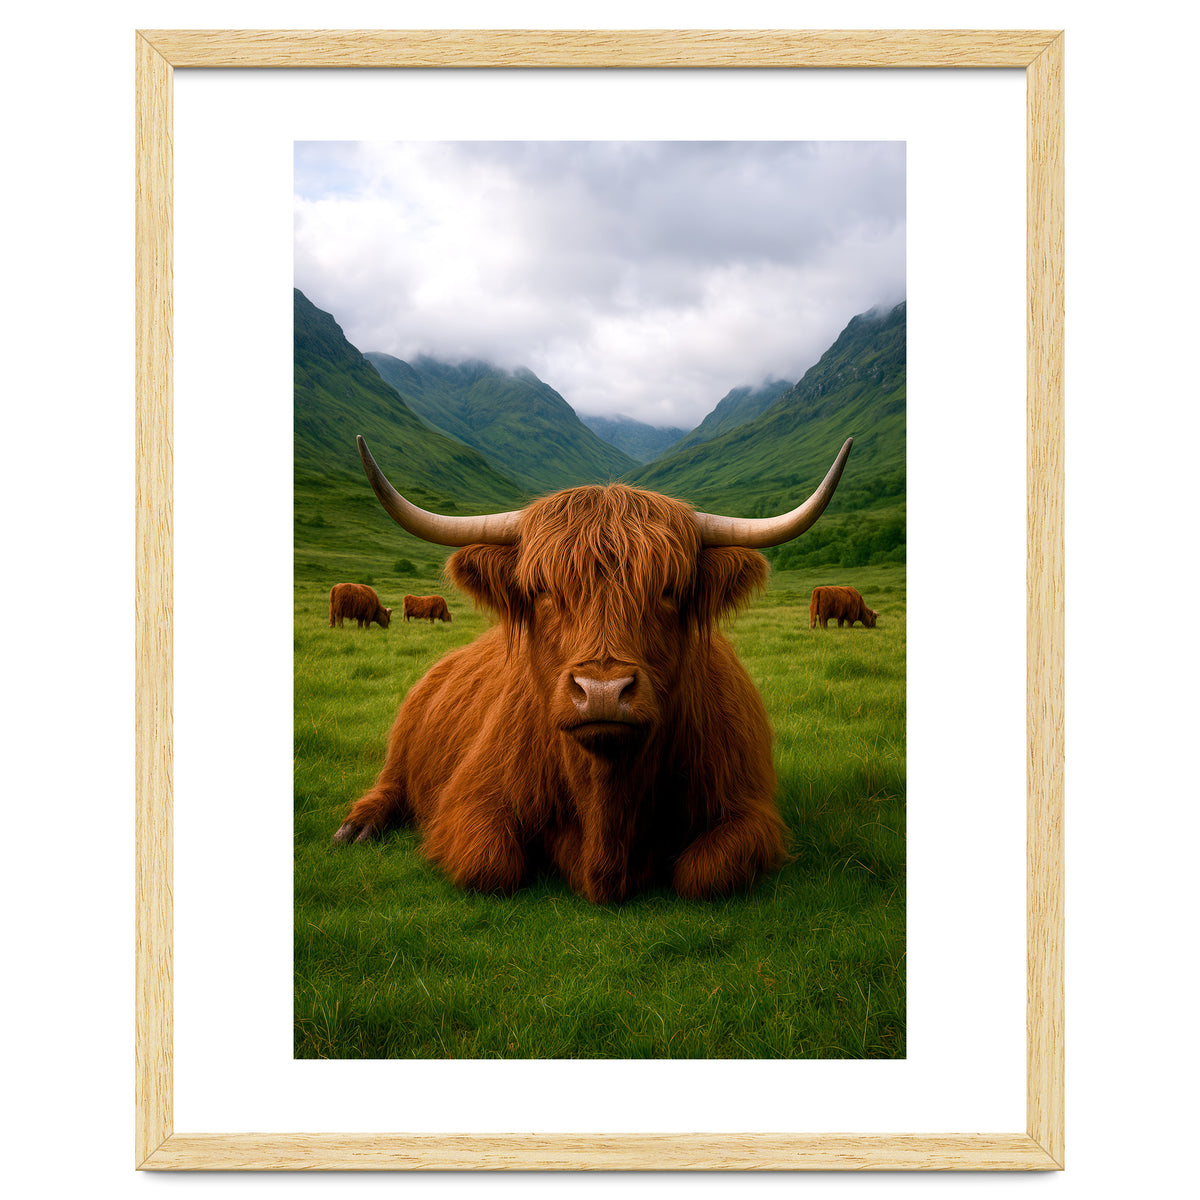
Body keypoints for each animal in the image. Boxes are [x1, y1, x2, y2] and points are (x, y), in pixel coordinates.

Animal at [334, 433, 853, 903]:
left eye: (669, 590)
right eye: (542, 589)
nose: (602, 691)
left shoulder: (747, 810)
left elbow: (705, 874)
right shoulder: (470, 800)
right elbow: (491, 865)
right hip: (403, 742)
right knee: (390, 783)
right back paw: (357, 827)